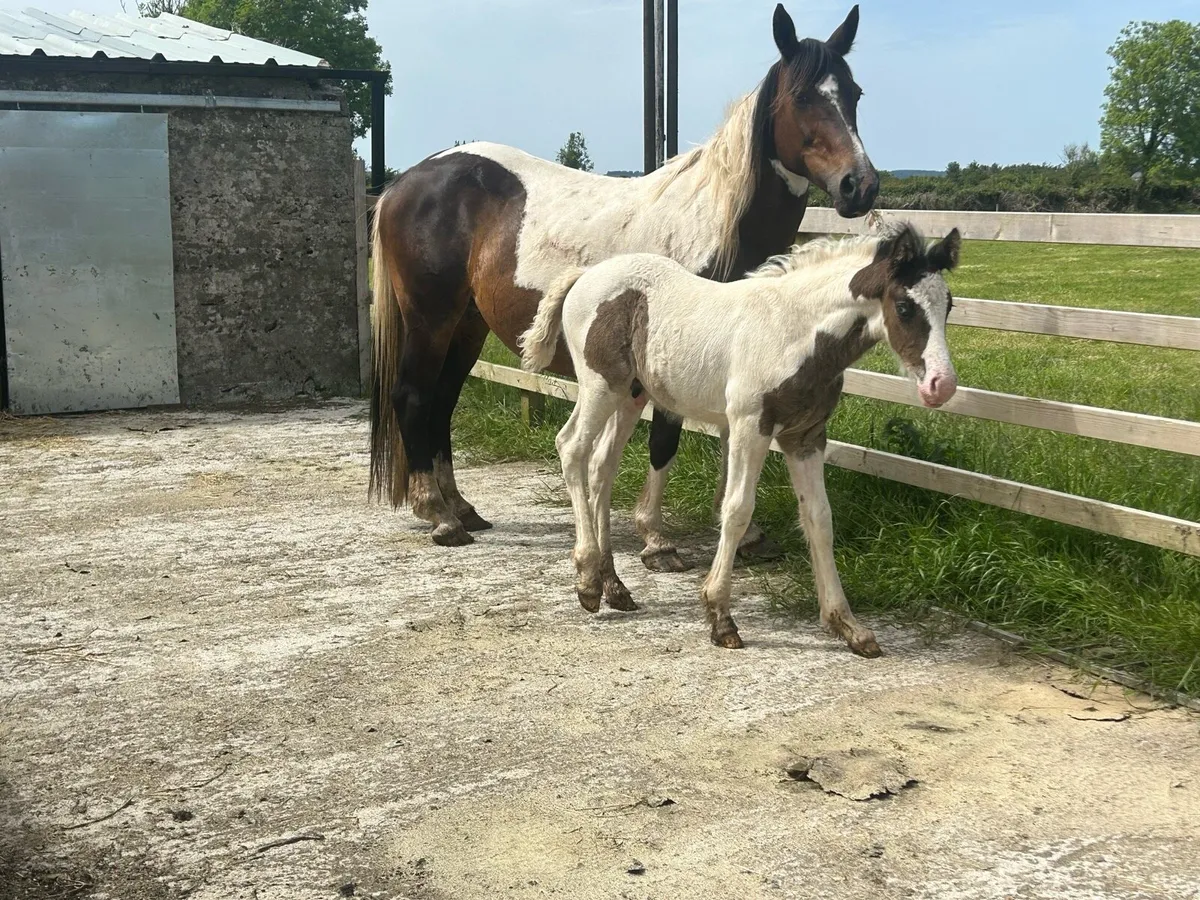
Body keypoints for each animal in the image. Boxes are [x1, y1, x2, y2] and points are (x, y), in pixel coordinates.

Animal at [368, 3, 879, 572]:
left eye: (855, 93)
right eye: (803, 96)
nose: (860, 185)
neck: (716, 223)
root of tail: (404, 183)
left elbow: (728, 438)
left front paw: (743, 537)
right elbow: (665, 439)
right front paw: (656, 539)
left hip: (467, 326)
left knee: (442, 402)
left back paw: (461, 508)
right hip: (430, 319)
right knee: (414, 396)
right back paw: (438, 514)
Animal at [519, 223, 961, 655]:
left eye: (949, 305)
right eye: (904, 307)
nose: (942, 385)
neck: (792, 331)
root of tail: (587, 274)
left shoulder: (806, 436)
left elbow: (819, 518)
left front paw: (848, 626)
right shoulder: (750, 426)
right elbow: (736, 511)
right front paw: (721, 618)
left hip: (632, 394)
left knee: (602, 468)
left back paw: (614, 586)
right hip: (600, 386)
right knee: (572, 447)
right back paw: (588, 580)